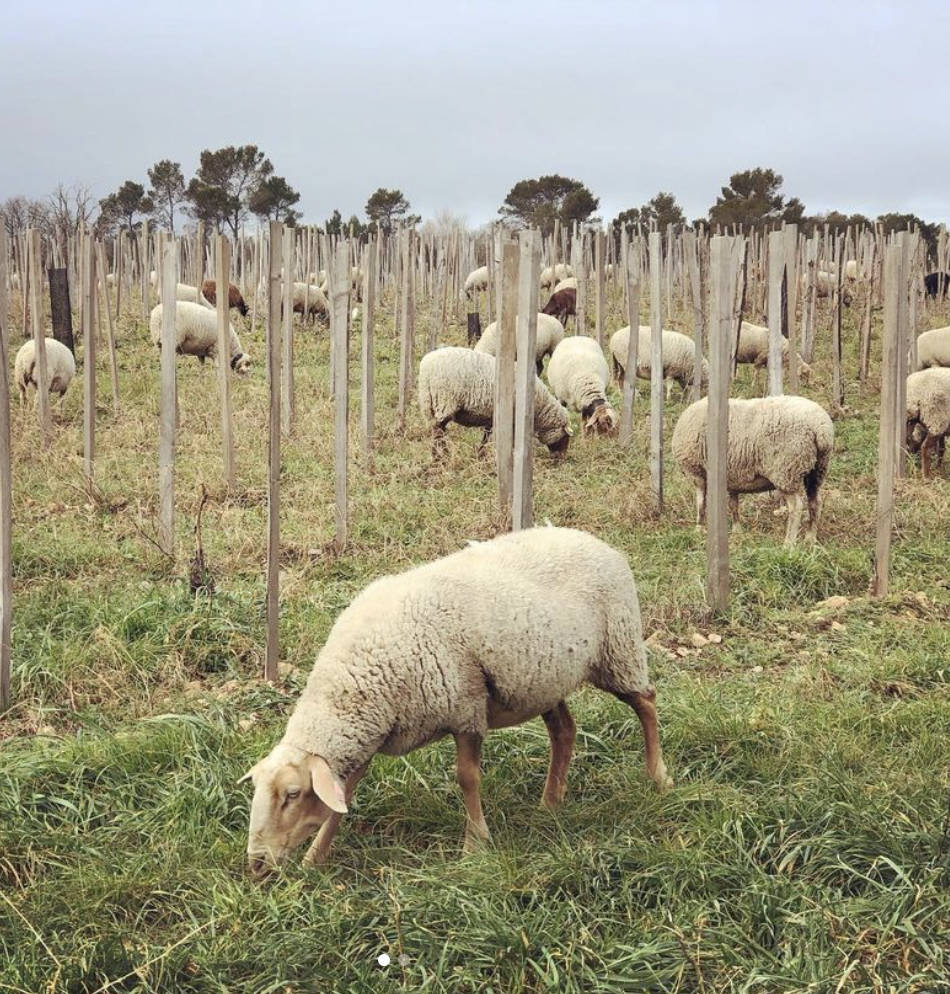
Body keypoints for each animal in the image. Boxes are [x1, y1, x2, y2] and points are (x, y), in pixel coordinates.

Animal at [242, 528, 672, 868]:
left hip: (618, 650)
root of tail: (595, 541)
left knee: (647, 702)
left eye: (292, 794)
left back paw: (658, 777)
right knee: (564, 730)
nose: (257, 864)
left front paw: (475, 846)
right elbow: (342, 798)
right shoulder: (369, 734)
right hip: (542, 678)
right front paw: (315, 858)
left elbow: (467, 778)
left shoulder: (466, 708)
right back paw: (550, 803)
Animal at [418, 344, 572, 458]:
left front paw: (481, 452)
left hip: (431, 403)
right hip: (444, 402)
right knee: (439, 430)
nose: (560, 459)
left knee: (437, 430)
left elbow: (487, 434)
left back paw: (437, 455)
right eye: (565, 437)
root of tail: (425, 366)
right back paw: (441, 456)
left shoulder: (491, 414)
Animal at [668, 394, 832, 548]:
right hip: (816, 471)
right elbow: (733, 504)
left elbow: (701, 503)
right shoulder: (732, 476)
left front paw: (699, 528)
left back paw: (788, 544)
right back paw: (810, 538)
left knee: (796, 506)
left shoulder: (697, 472)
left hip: (786, 471)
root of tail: (821, 428)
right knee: (815, 502)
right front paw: (736, 530)